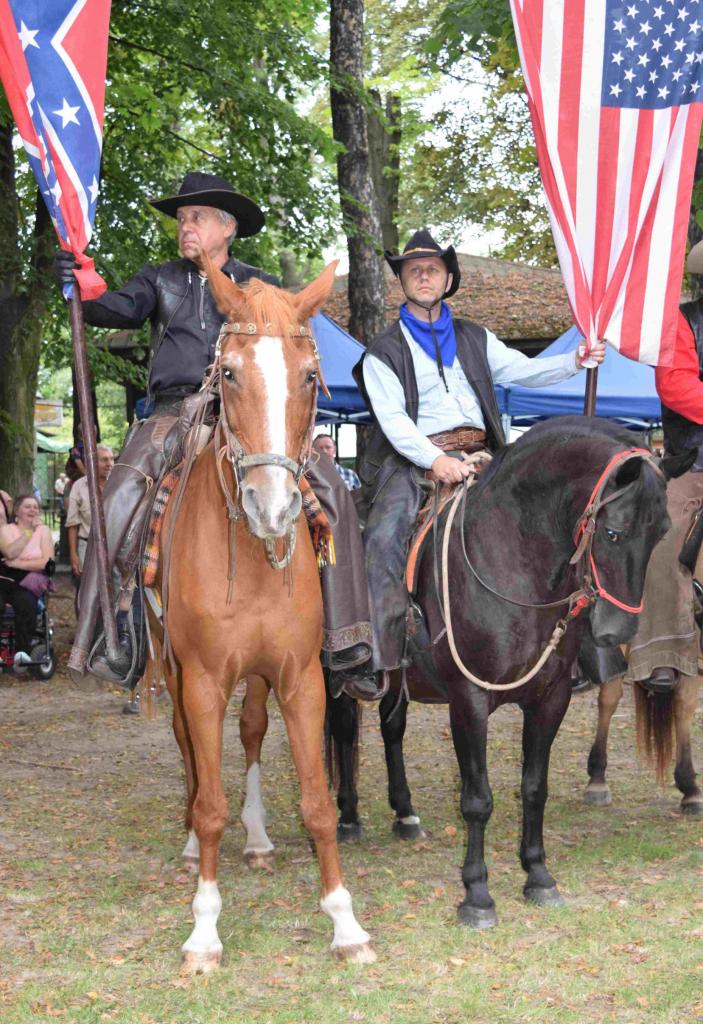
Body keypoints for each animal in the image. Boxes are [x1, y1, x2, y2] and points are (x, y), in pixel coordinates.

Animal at [146, 256, 375, 973]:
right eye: (228, 373)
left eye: (308, 376)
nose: (272, 509)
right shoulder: (201, 678)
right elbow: (209, 802)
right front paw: (203, 932)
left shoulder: (300, 678)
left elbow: (318, 804)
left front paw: (345, 922)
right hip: (173, 669)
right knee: (188, 751)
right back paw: (193, 845)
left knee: (248, 731)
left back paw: (257, 838)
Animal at [326, 417, 692, 928]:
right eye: (614, 532)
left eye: (662, 532)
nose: (617, 630)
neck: (513, 562)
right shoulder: (470, 701)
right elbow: (477, 799)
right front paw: (477, 895)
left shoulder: (550, 699)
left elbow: (534, 788)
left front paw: (537, 875)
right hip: (337, 677)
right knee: (343, 731)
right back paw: (347, 818)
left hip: (397, 680)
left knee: (391, 728)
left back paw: (405, 813)